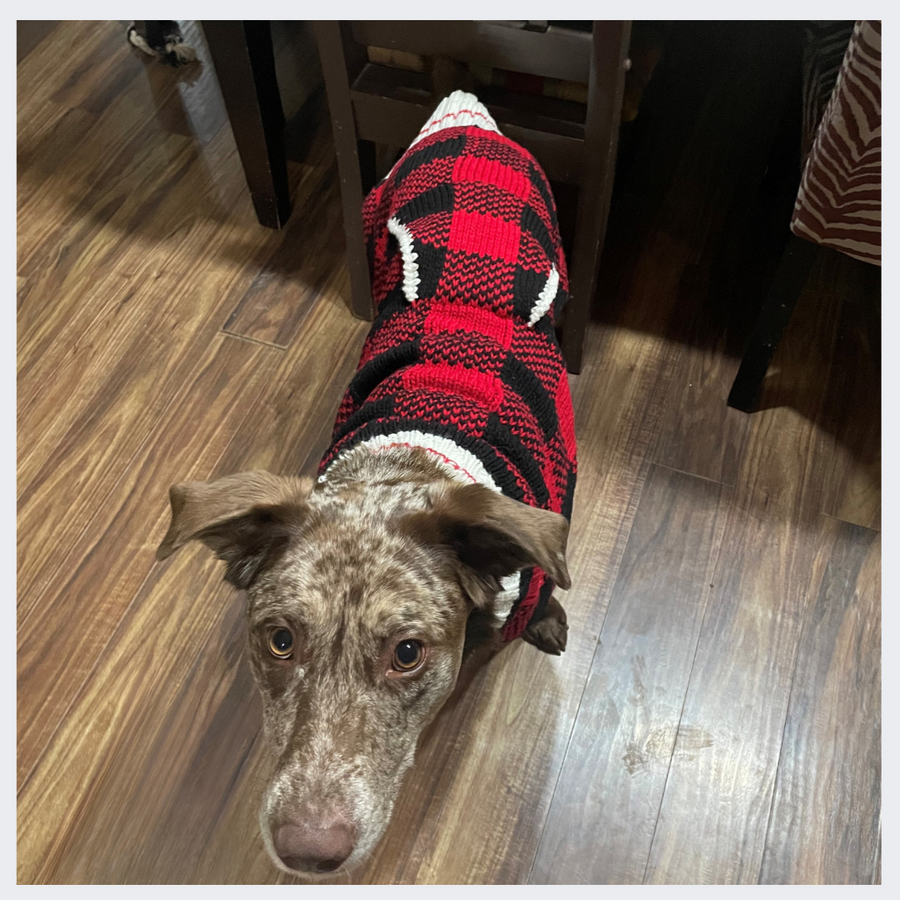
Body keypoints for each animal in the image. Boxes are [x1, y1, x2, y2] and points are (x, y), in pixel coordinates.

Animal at [156, 93, 576, 880]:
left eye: (407, 653)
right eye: (279, 640)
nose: (308, 853)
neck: (410, 463)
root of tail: (465, 113)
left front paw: (545, 617)